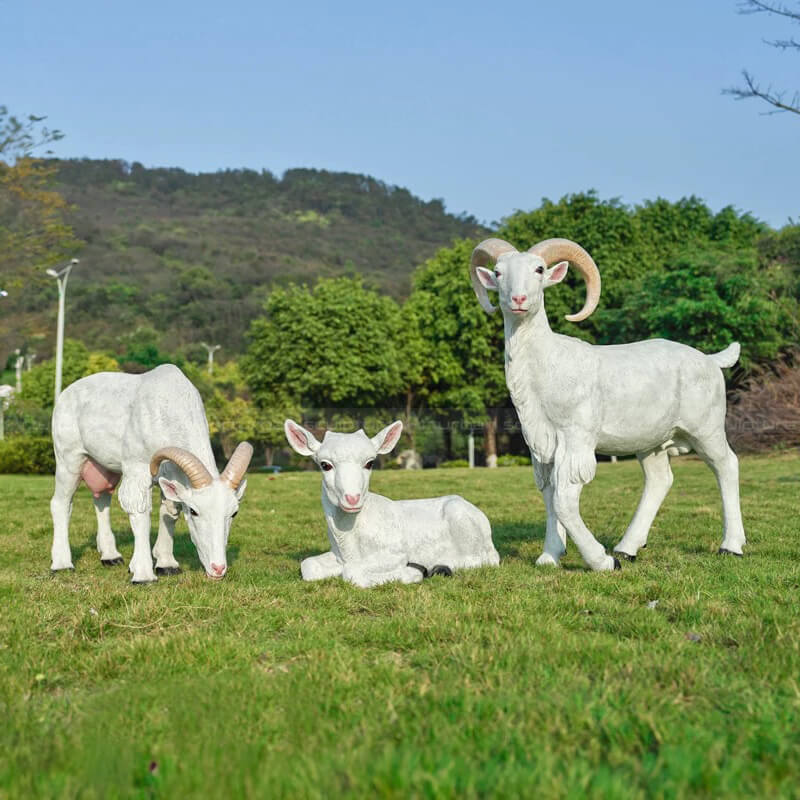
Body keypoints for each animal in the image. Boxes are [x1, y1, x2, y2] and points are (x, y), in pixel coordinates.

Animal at [50, 364, 252, 582]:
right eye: (194, 511)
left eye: (234, 513)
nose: (218, 568)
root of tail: (66, 393)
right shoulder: (137, 469)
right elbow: (140, 513)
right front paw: (143, 574)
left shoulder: (172, 473)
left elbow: (170, 512)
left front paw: (166, 564)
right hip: (68, 458)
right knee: (61, 503)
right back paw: (62, 563)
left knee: (102, 499)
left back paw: (110, 555)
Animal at [285, 419, 500, 588]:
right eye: (325, 465)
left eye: (370, 463)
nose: (353, 498)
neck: (349, 543)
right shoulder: (337, 554)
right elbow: (308, 566)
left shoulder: (396, 551)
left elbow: (352, 573)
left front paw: (413, 572)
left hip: (463, 524)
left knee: (484, 560)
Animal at [470, 237, 745, 571]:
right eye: (498, 272)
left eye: (539, 269)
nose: (518, 299)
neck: (546, 366)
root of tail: (711, 360)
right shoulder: (542, 448)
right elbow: (550, 498)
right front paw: (550, 556)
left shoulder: (576, 441)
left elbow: (564, 501)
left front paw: (601, 562)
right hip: (652, 443)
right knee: (659, 480)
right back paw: (627, 548)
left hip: (706, 429)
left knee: (727, 465)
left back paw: (731, 546)